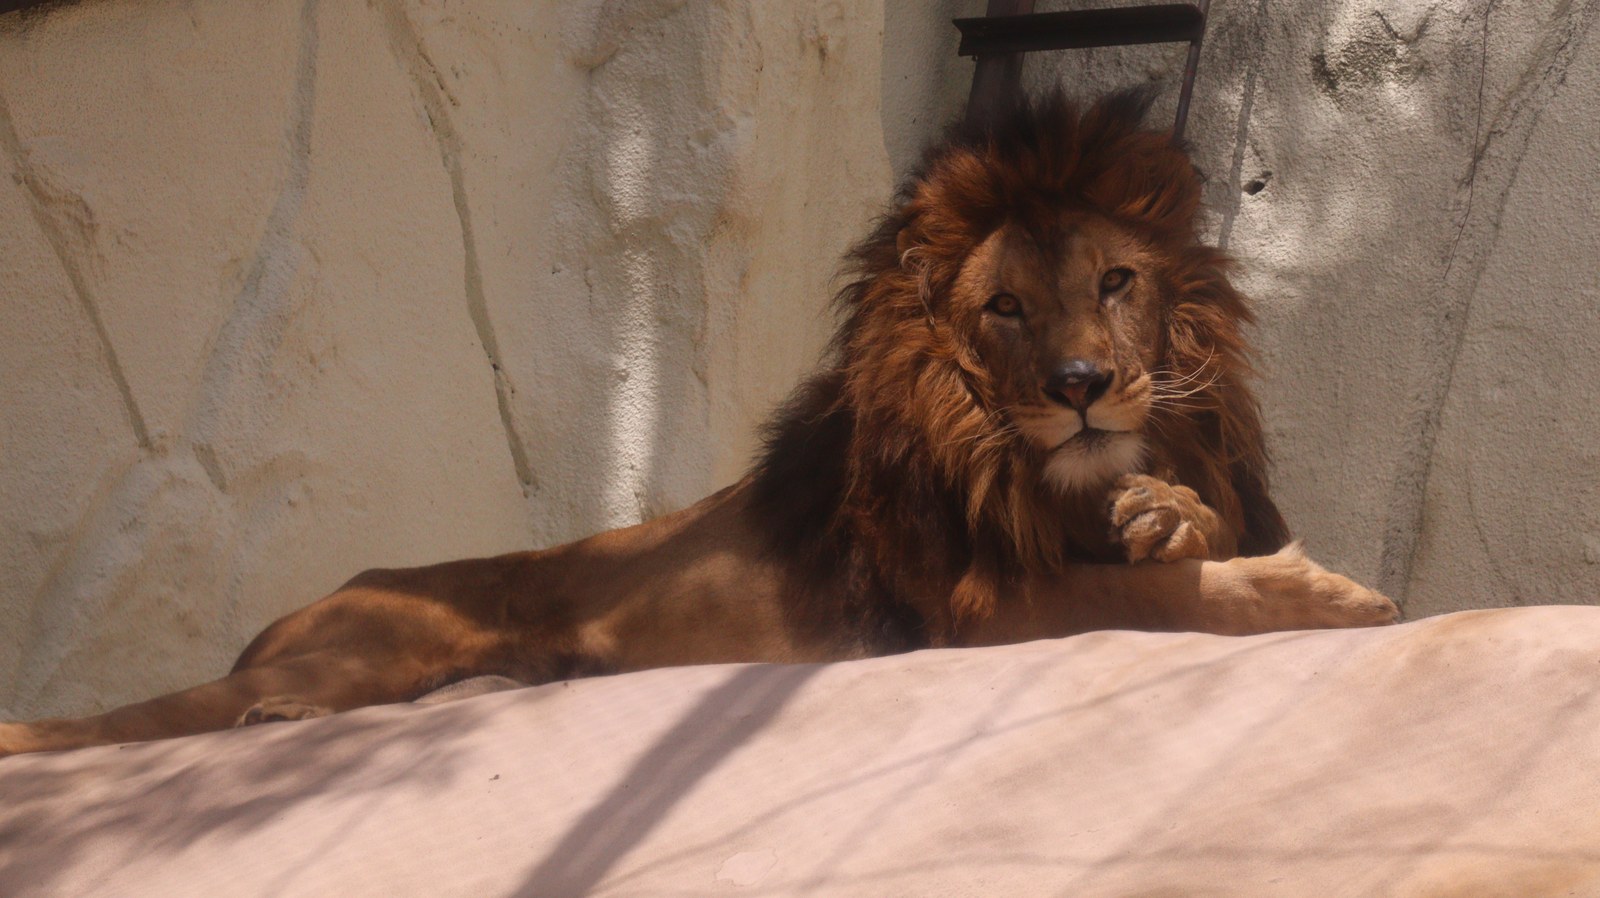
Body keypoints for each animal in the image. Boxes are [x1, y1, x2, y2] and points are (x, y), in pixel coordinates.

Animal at [0, 91, 1396, 757]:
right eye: (1003, 307)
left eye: (1113, 282)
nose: (1082, 383)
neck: (1002, 459)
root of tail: (289, 618)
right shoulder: (977, 614)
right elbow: (1162, 598)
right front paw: (1328, 593)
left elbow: (1172, 544)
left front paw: (1170, 510)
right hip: (361, 648)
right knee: (119, 724)